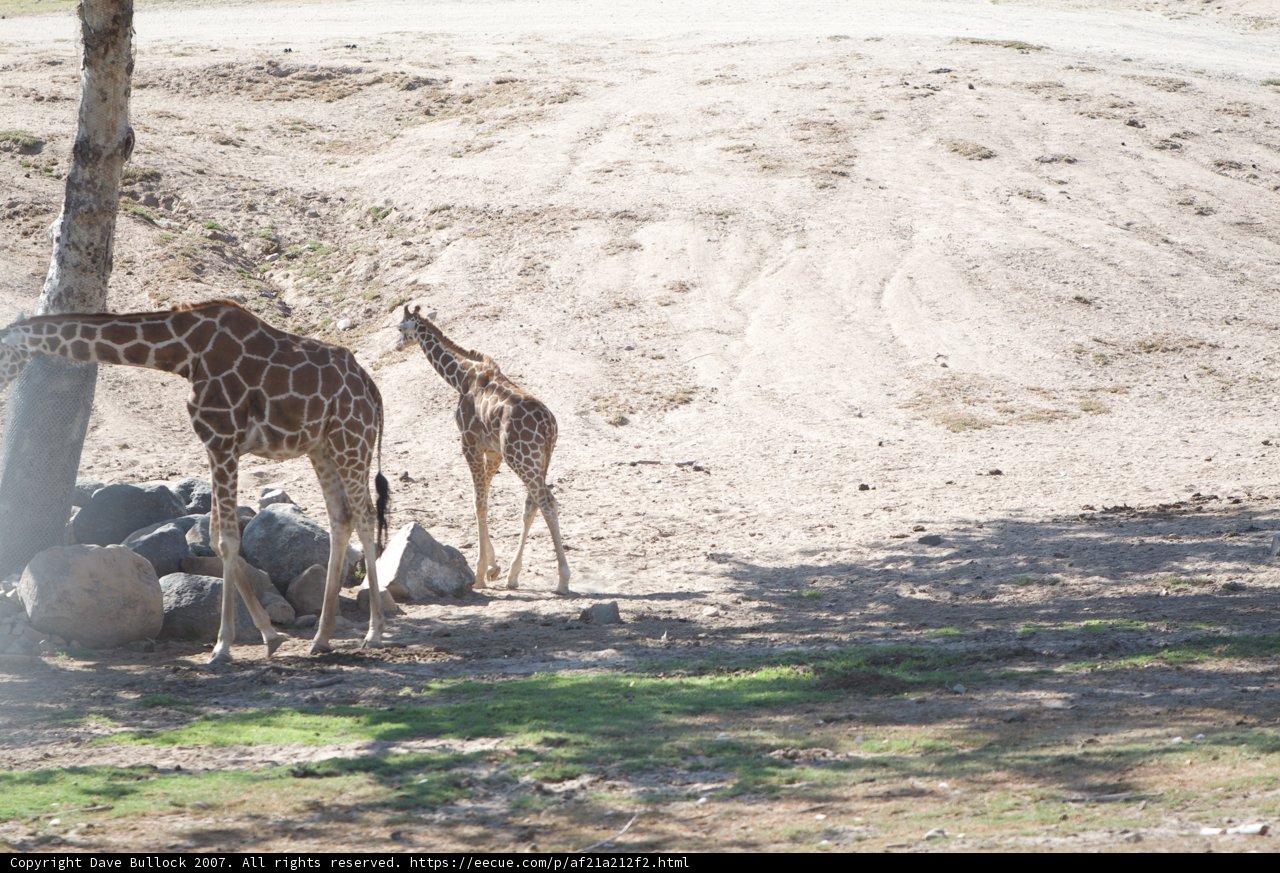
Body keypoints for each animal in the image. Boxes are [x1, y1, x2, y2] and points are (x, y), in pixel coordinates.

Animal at [0, 300, 390, 663]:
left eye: (1, 351)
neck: (185, 351)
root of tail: (374, 393)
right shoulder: (216, 445)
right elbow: (217, 537)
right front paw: (270, 636)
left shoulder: (223, 441)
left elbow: (228, 541)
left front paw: (222, 646)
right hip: (321, 448)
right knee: (341, 518)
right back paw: (321, 639)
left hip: (351, 441)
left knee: (366, 516)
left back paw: (374, 633)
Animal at [398, 305, 570, 594]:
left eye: (400, 328)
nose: (397, 345)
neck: (459, 378)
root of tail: (549, 427)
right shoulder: (493, 451)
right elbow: (484, 500)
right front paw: (493, 568)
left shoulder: (468, 442)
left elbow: (478, 502)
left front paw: (479, 573)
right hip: (539, 458)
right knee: (533, 503)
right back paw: (513, 575)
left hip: (521, 458)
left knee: (546, 501)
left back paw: (563, 580)